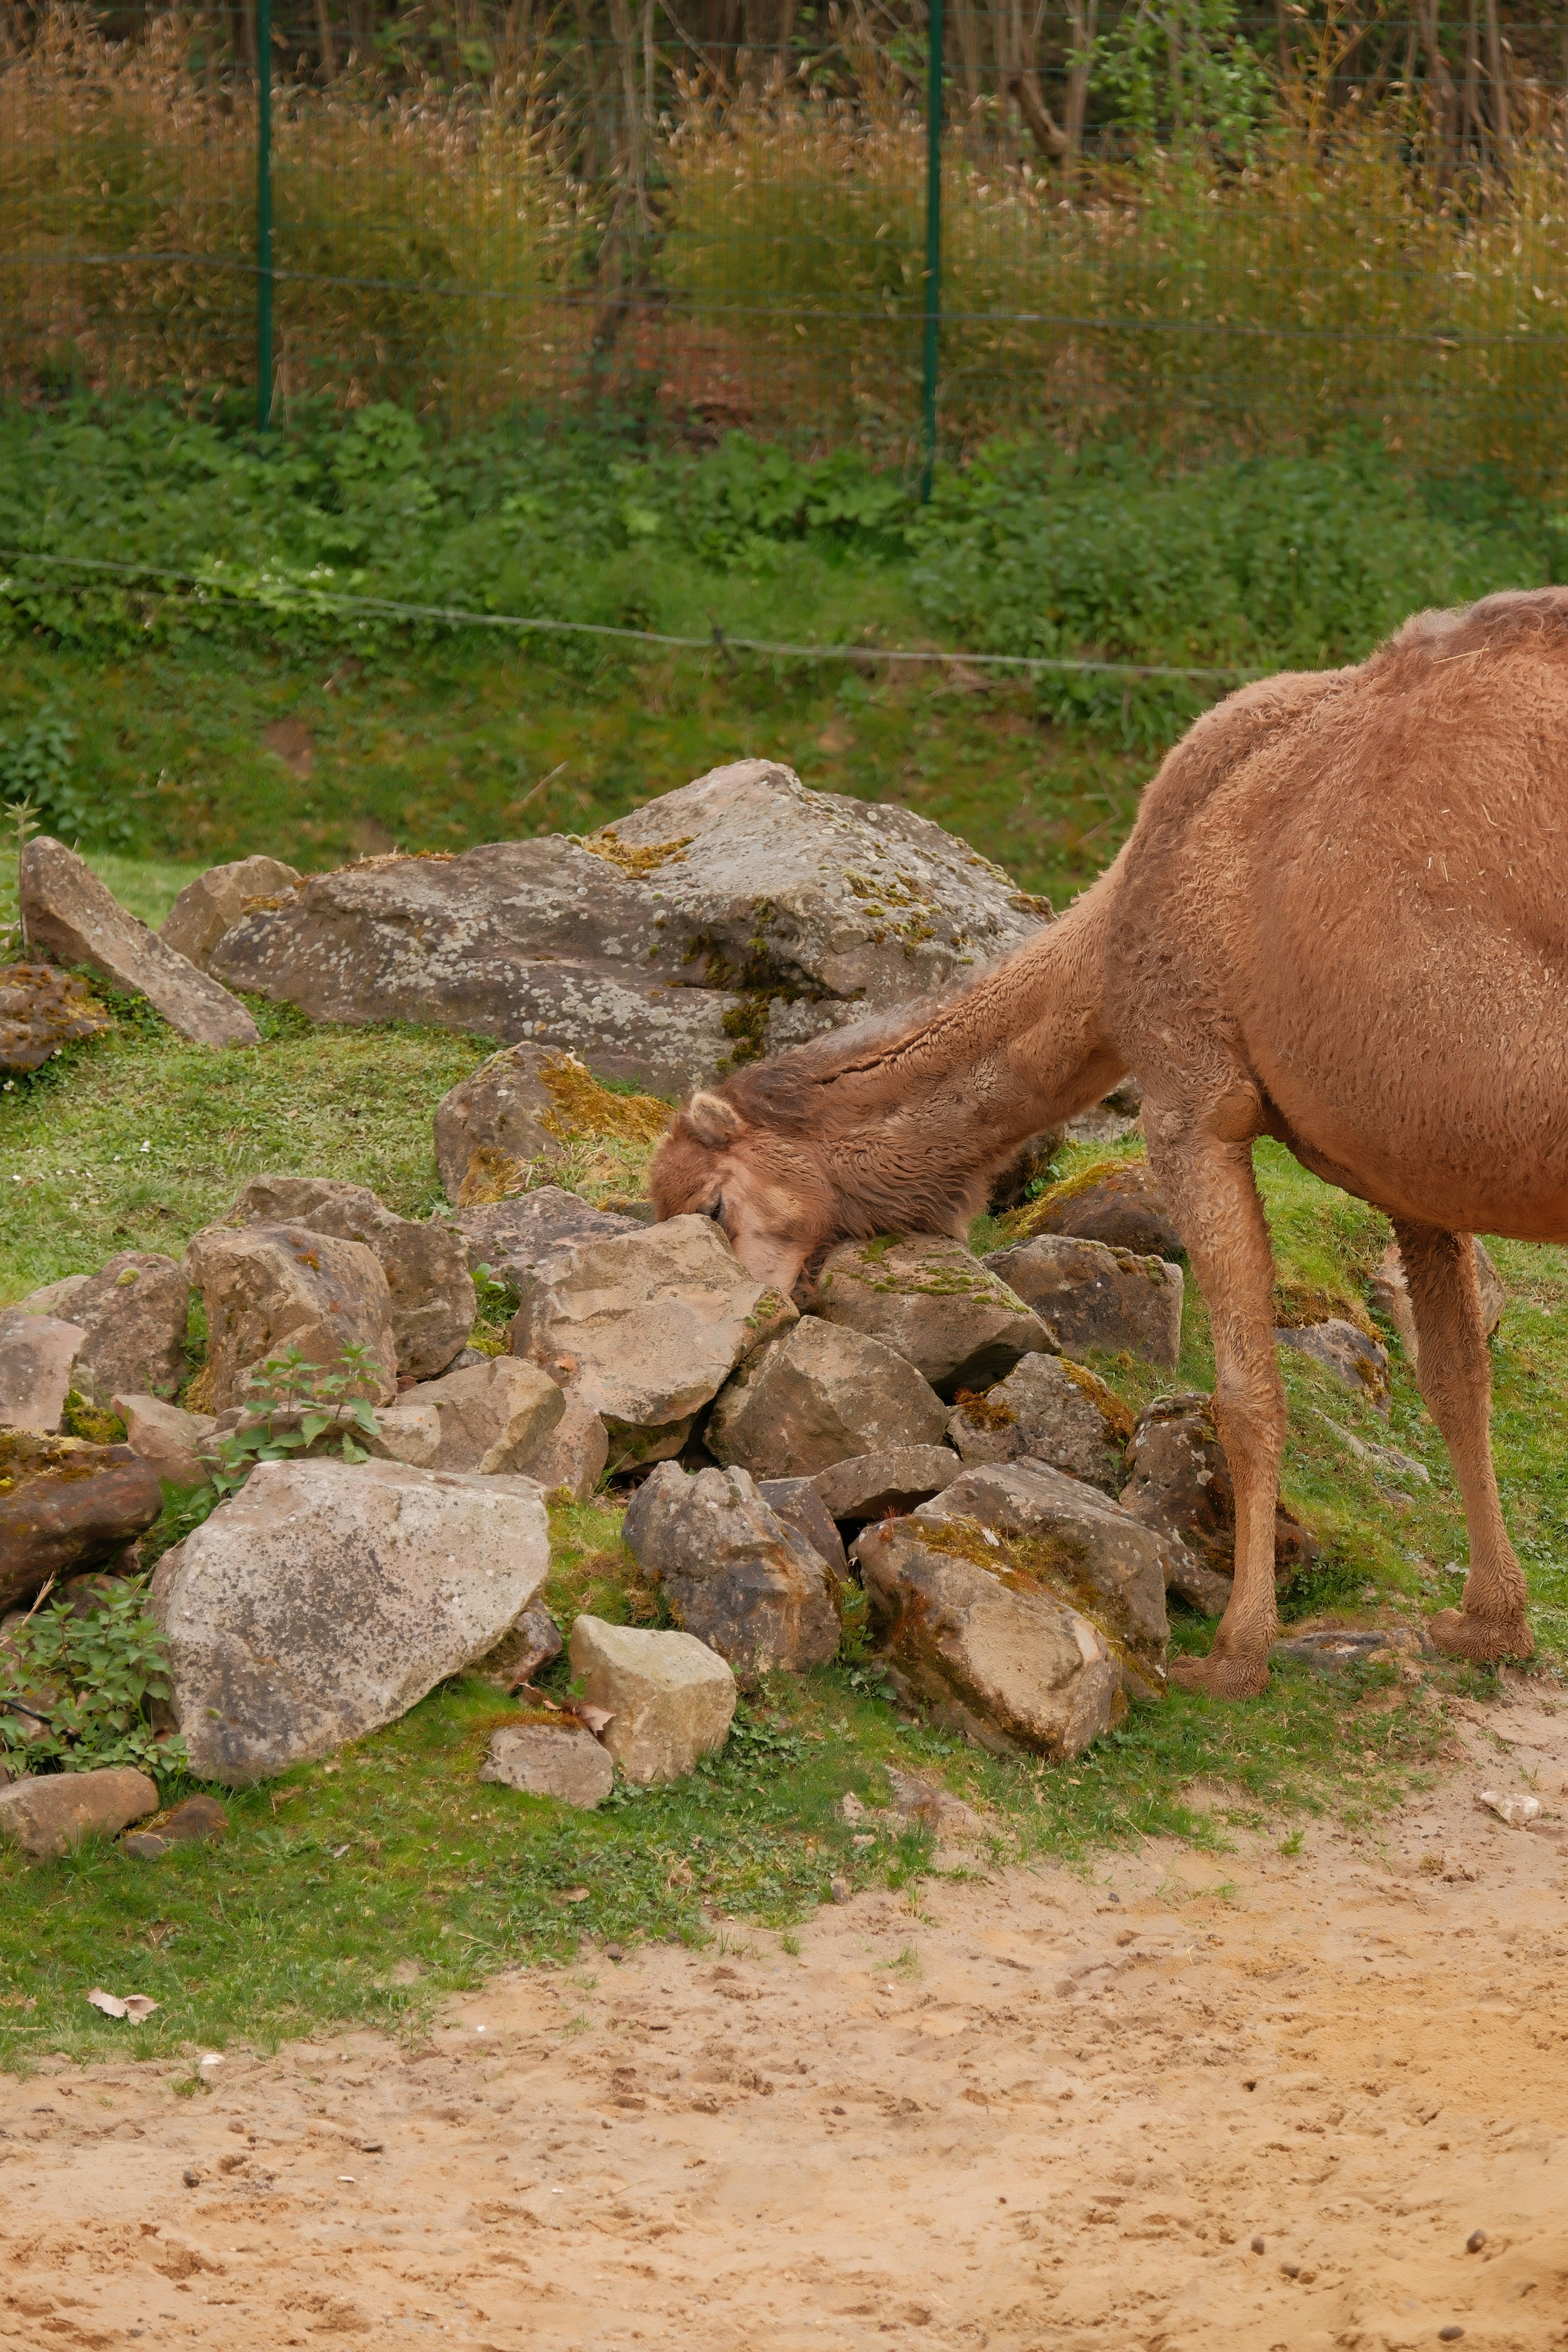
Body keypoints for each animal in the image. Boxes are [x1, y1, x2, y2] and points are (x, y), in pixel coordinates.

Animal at [650, 586, 1568, 1699]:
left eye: (713, 1203)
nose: (736, 1343)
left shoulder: (1188, 1090)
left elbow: (1246, 1391)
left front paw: (1234, 1653)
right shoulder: (1409, 1157)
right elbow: (1456, 1379)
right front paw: (1490, 1623)